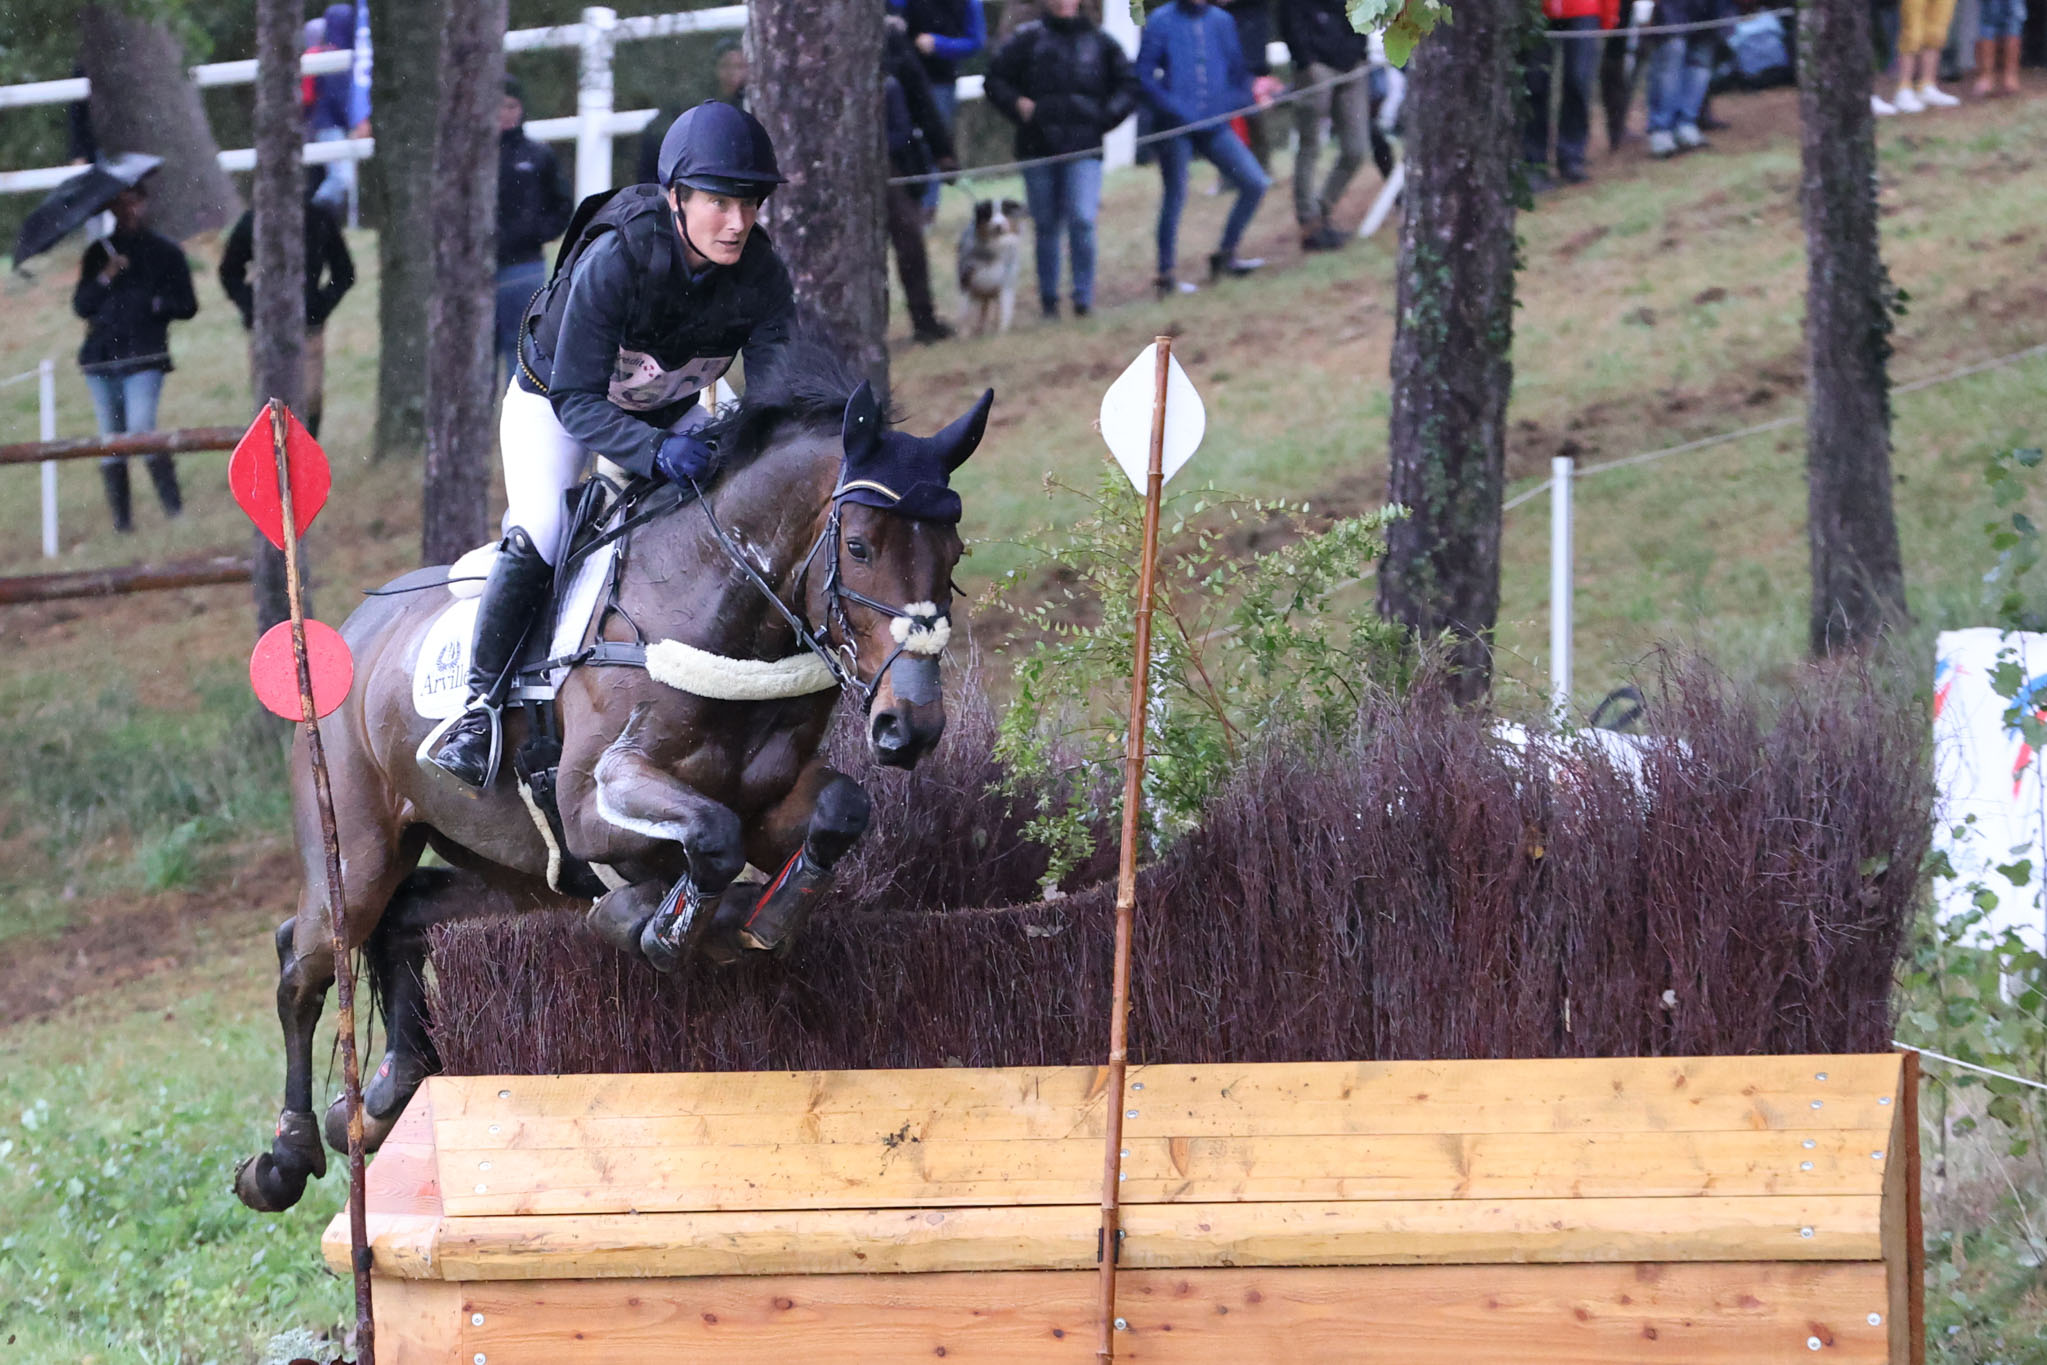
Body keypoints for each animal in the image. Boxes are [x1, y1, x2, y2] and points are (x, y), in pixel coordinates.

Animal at [237, 343, 990, 1219]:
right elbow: (708, 840)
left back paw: (388, 1089)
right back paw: (284, 1155)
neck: (715, 610)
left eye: (953, 554)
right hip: (356, 847)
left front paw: (761, 915)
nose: (912, 726)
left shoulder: (771, 801)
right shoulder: (598, 800)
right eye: (862, 545)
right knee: (306, 956)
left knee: (405, 918)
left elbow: (834, 808)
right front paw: (667, 924)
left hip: (511, 871)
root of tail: (346, 632)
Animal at [953, 202, 1023, 341]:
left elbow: (1004, 310)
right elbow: (966, 312)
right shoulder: (967, 282)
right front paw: (964, 336)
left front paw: (1001, 332)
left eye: (1005, 212)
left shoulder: (1005, 283)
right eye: (990, 213)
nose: (998, 226)